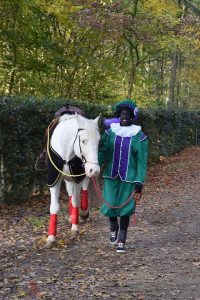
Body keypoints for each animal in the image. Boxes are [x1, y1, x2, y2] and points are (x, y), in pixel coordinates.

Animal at [46, 112, 100, 246]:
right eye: (83, 141)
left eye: (98, 141)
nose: (95, 170)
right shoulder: (54, 179)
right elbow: (54, 206)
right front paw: (51, 237)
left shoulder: (78, 176)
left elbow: (76, 200)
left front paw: (75, 228)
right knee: (70, 192)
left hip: (84, 172)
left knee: (84, 188)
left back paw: (83, 212)